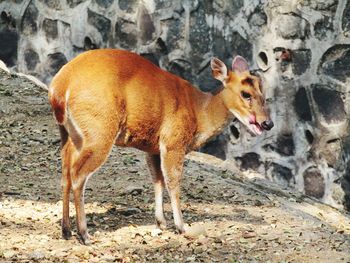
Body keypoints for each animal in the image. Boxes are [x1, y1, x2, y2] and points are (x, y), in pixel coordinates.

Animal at [48, 48, 274, 245]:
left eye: (263, 92)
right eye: (245, 94)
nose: (267, 123)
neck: (199, 112)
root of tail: (59, 87)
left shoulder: (153, 148)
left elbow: (157, 180)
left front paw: (161, 222)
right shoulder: (173, 141)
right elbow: (173, 182)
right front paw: (181, 226)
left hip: (69, 134)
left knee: (65, 173)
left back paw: (66, 231)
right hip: (100, 130)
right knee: (78, 175)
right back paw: (84, 235)